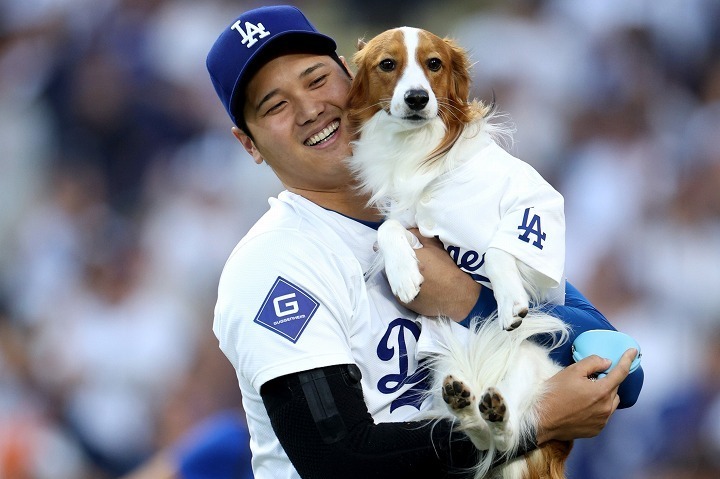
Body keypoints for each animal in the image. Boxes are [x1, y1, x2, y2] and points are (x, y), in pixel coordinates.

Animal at [348, 27, 572, 479]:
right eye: (387, 64)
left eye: (434, 63)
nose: (417, 98)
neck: (419, 152)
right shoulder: (408, 218)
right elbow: (390, 228)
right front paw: (404, 274)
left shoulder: (535, 209)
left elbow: (499, 249)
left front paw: (510, 303)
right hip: (444, 374)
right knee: (476, 431)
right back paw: (468, 407)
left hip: (528, 367)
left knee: (508, 430)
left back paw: (494, 413)